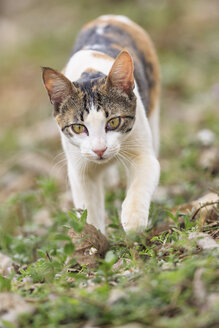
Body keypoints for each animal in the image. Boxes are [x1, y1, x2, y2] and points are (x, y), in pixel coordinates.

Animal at [42, 15, 160, 234]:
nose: (100, 150)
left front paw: (133, 220)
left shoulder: (142, 149)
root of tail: (109, 17)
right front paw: (94, 240)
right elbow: (89, 211)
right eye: (78, 127)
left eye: (113, 122)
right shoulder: (79, 170)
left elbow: (143, 175)